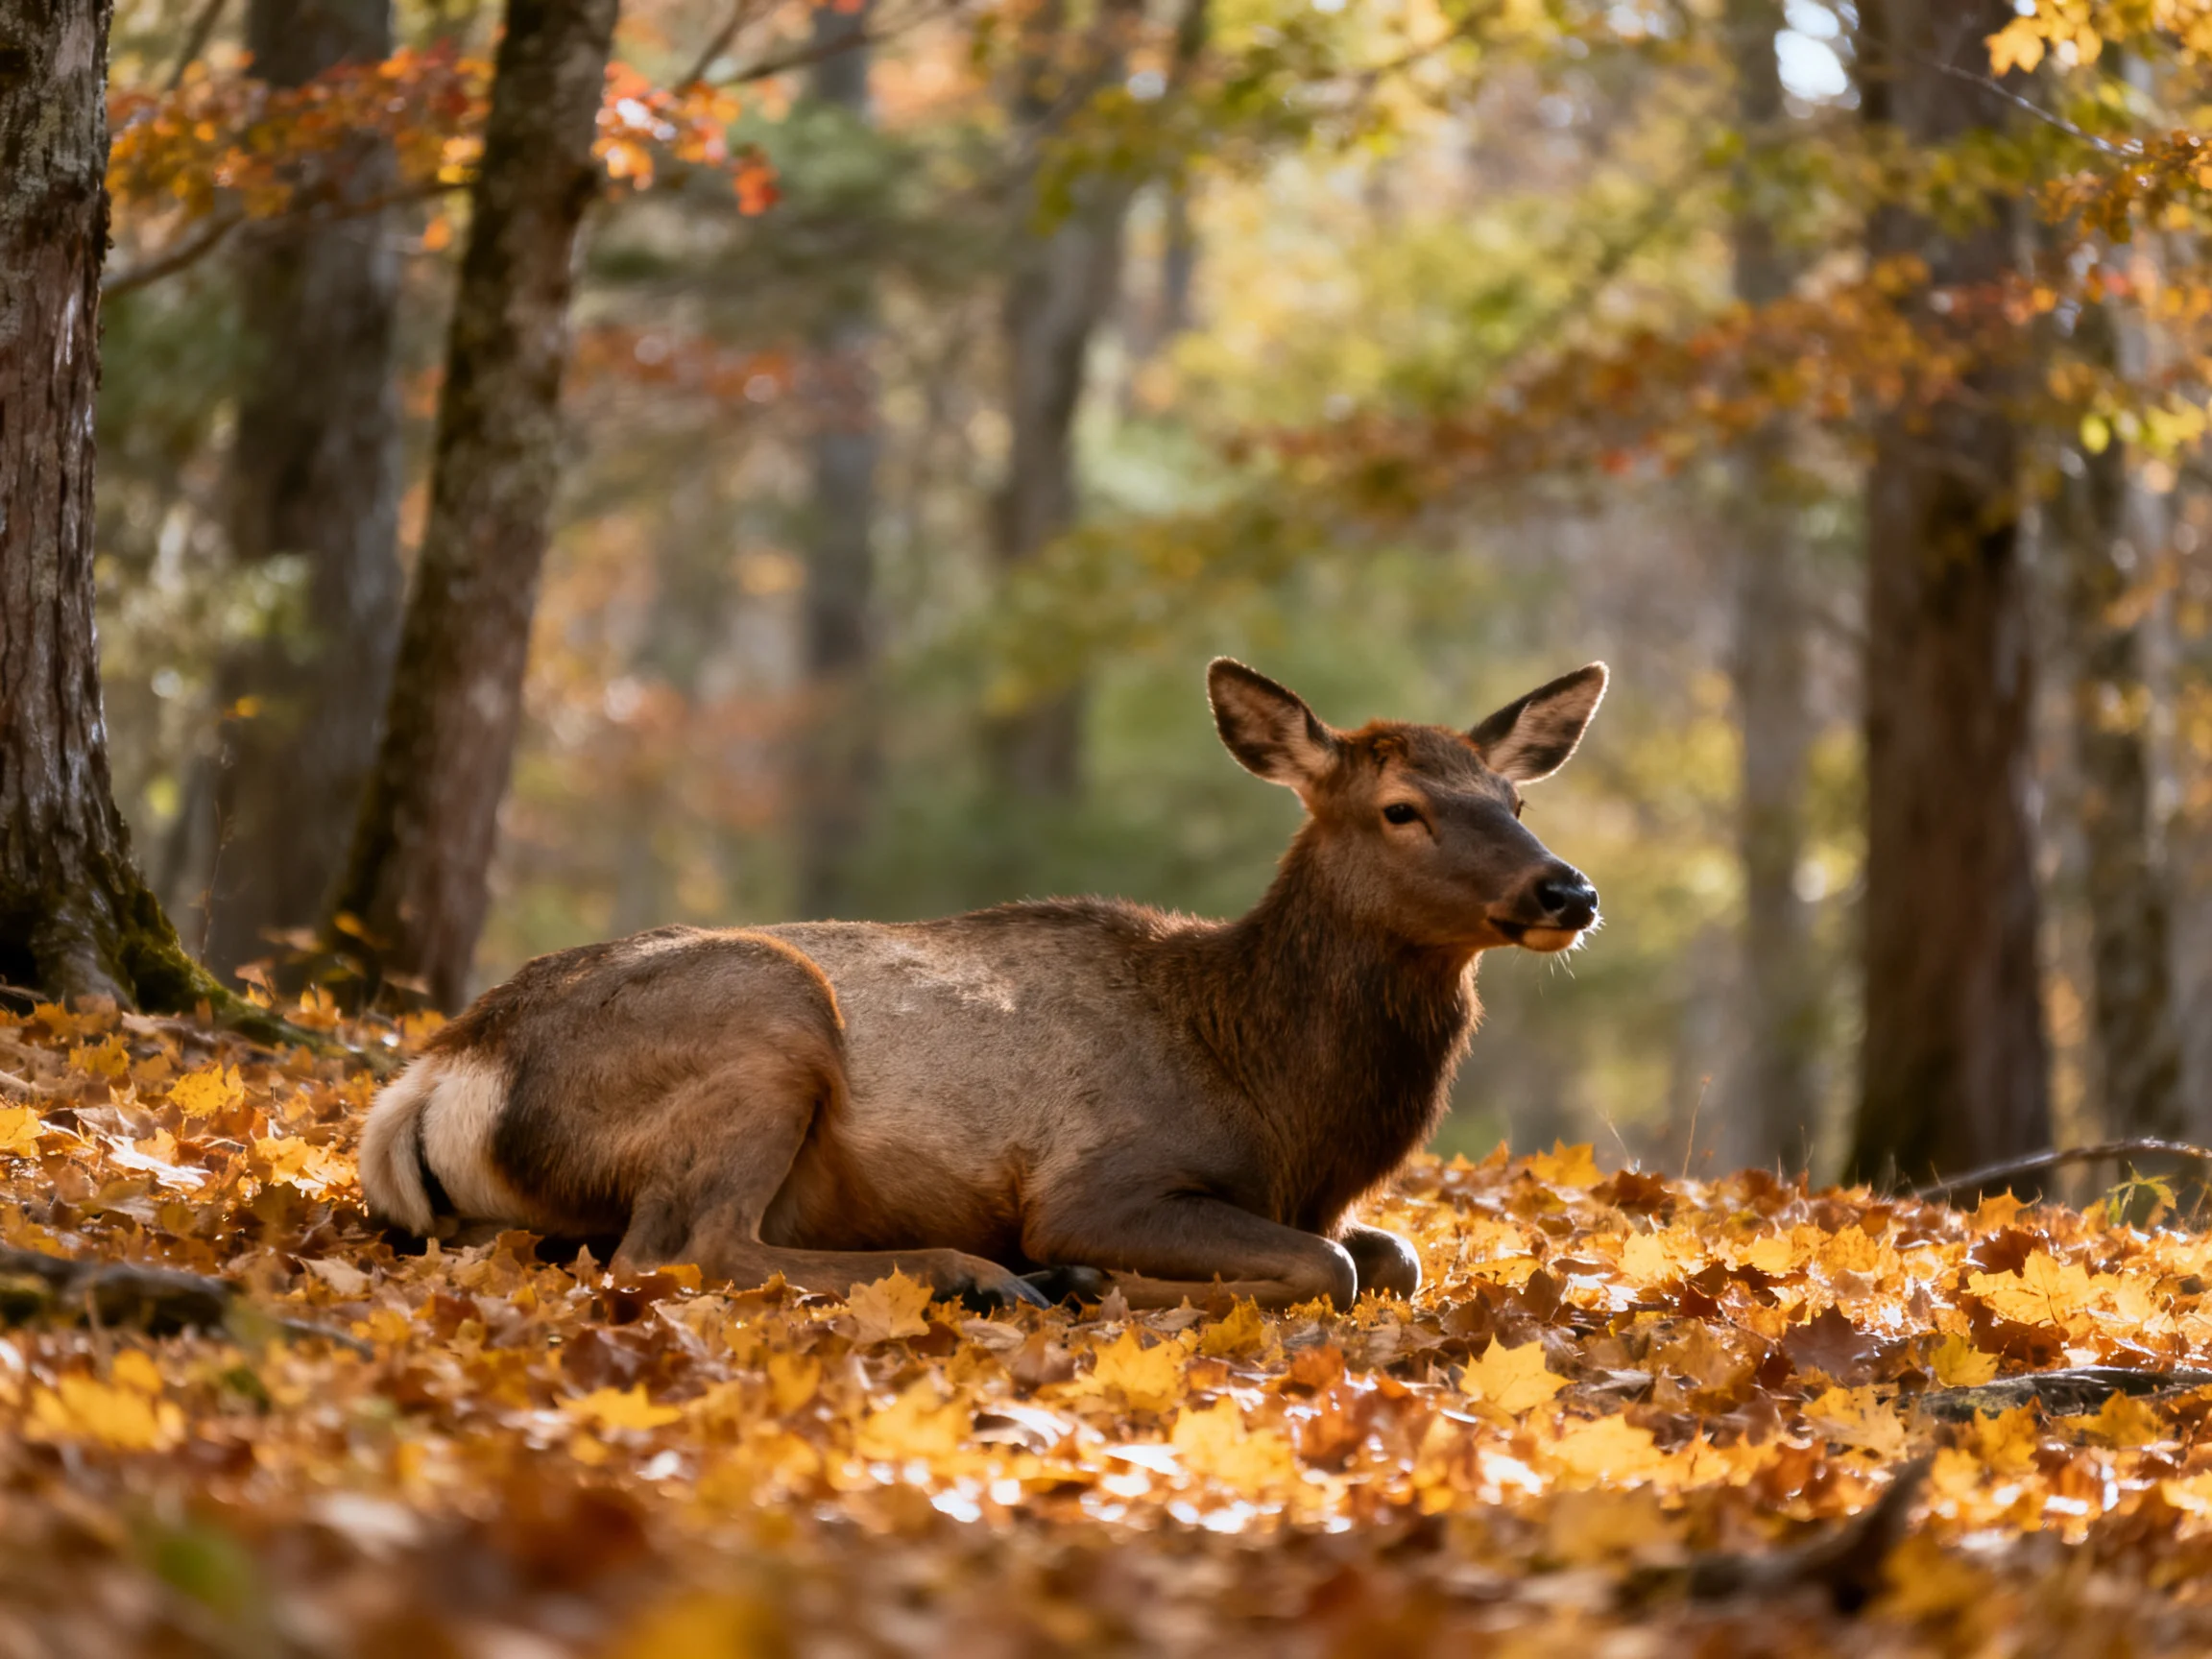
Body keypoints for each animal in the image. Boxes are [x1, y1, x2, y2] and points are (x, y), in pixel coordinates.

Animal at [358, 658, 1606, 1311]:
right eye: (1401, 808)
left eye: (1515, 798)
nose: (1568, 888)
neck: (1284, 1107)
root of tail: (440, 1070)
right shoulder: (1104, 1174)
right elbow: (1333, 1266)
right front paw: (1095, 1275)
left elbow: (1392, 1253)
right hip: (769, 1014)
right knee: (685, 1244)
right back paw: (994, 1276)